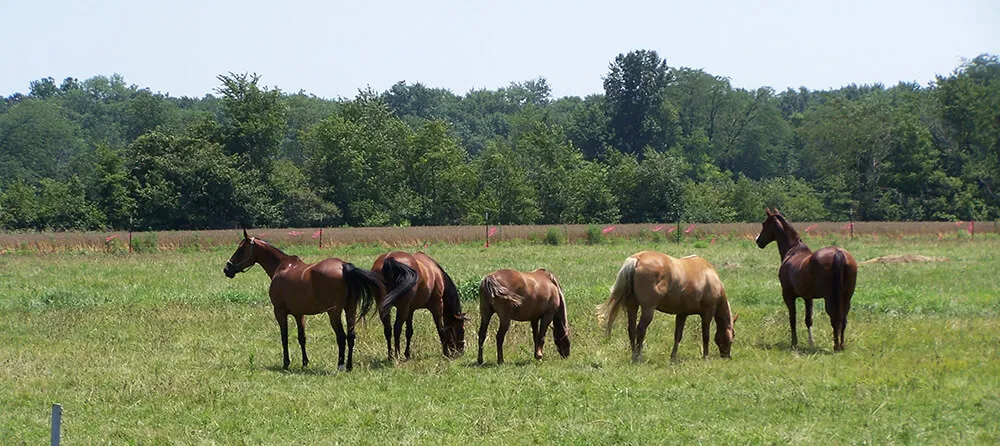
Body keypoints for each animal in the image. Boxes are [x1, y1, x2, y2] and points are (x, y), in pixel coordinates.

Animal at [223, 229, 384, 371]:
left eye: (240, 249)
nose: (226, 269)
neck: (282, 267)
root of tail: (344, 266)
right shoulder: (299, 314)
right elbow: (302, 338)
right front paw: (305, 362)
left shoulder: (280, 311)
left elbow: (284, 337)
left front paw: (286, 363)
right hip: (350, 309)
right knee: (351, 336)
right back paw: (349, 366)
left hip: (334, 313)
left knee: (341, 337)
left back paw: (340, 366)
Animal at [597, 251, 737, 361]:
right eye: (732, 337)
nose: (727, 356)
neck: (709, 276)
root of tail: (637, 259)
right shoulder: (708, 313)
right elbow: (706, 335)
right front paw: (705, 356)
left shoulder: (682, 314)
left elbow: (678, 335)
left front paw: (673, 356)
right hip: (648, 309)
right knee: (641, 329)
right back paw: (638, 356)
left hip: (632, 305)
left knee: (631, 329)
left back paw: (633, 355)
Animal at [756, 208, 858, 351]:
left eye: (764, 223)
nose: (758, 241)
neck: (793, 251)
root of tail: (838, 253)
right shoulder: (808, 297)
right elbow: (808, 319)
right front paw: (811, 343)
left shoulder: (788, 295)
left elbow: (792, 318)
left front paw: (794, 342)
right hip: (846, 296)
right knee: (843, 318)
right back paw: (841, 345)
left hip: (830, 297)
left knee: (834, 317)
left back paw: (836, 345)